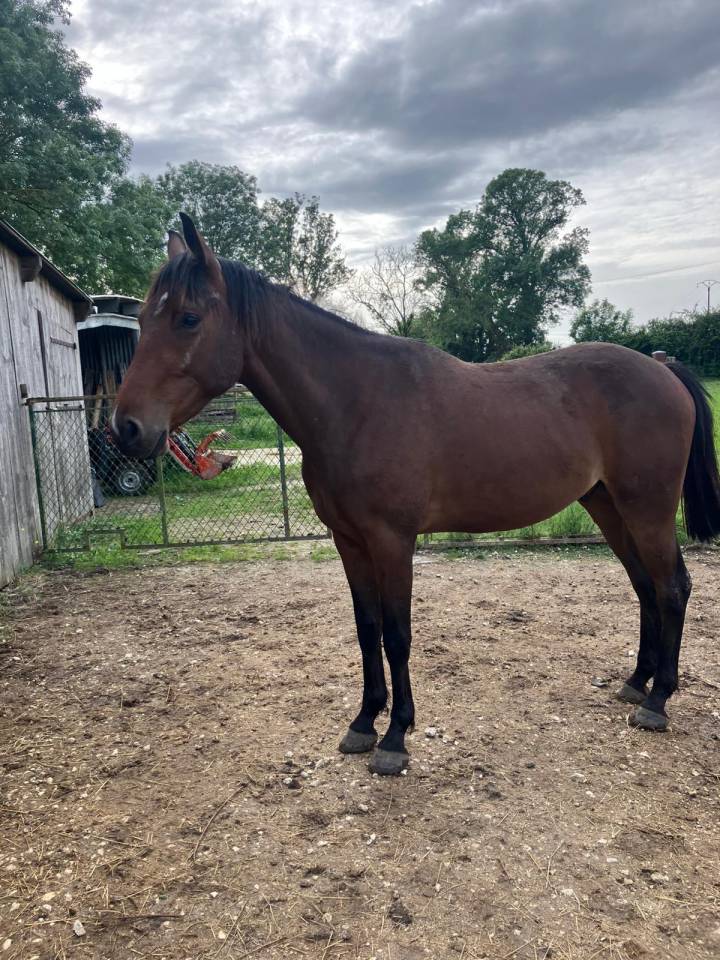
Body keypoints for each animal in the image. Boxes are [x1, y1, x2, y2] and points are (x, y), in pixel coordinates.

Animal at [112, 213, 720, 776]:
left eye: (188, 318)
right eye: (141, 319)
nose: (127, 428)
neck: (356, 403)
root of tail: (661, 368)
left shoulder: (392, 541)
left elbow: (397, 635)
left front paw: (395, 737)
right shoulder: (349, 542)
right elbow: (367, 630)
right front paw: (363, 722)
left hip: (648, 509)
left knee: (672, 587)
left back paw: (658, 702)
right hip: (607, 505)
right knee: (644, 587)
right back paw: (636, 682)